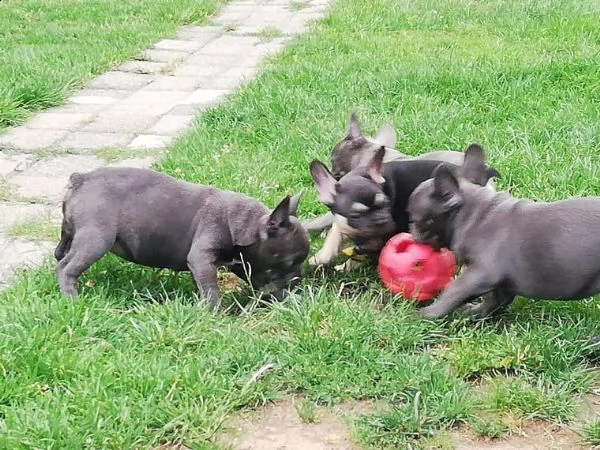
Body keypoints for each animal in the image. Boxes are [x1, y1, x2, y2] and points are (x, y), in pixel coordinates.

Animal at [54, 166, 310, 310]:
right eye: (291, 261)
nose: (299, 277)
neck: (251, 223)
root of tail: (81, 179)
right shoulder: (202, 257)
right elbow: (211, 288)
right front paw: (214, 311)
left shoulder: (245, 265)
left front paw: (285, 300)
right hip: (96, 239)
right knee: (66, 267)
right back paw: (71, 298)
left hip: (72, 233)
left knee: (60, 251)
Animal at [308, 146, 500, 268]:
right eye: (355, 215)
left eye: (385, 204)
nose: (380, 220)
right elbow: (335, 231)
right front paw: (321, 256)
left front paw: (347, 264)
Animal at [408, 145, 600, 320]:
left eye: (414, 220)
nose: (411, 233)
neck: (473, 213)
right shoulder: (502, 285)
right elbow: (493, 300)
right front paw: (475, 312)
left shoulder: (481, 272)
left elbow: (453, 291)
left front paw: (426, 314)